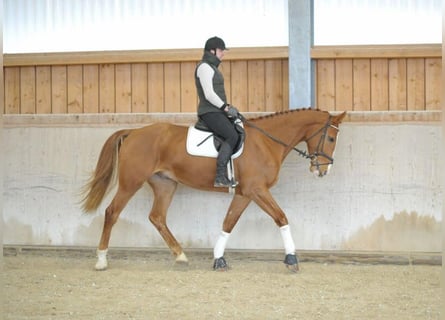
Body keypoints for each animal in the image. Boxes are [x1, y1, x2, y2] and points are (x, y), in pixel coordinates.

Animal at [81, 109, 346, 272]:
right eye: (331, 139)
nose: (323, 171)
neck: (266, 142)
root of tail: (134, 132)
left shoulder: (244, 193)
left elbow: (228, 223)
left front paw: (218, 259)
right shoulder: (257, 190)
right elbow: (281, 217)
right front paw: (291, 259)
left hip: (165, 184)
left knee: (157, 217)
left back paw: (180, 255)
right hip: (130, 182)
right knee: (112, 212)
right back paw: (101, 261)